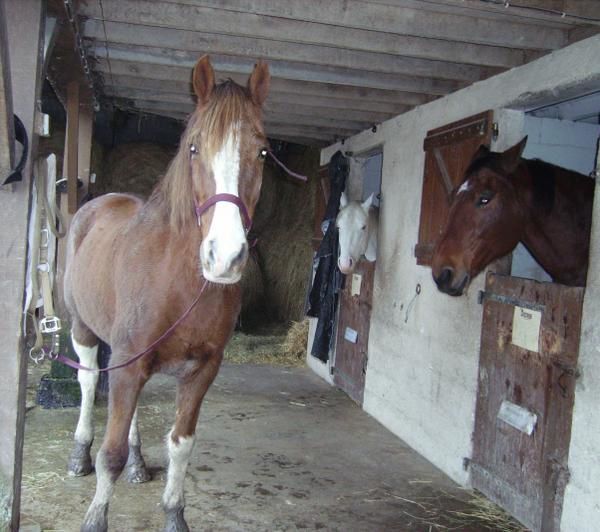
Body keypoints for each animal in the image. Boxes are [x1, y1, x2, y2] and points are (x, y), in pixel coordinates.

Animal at [65, 56, 270, 528]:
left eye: (263, 151)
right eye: (194, 148)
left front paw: (175, 513)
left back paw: (139, 464)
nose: (225, 257)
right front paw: (95, 517)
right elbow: (109, 453)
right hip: (82, 328)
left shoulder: (200, 370)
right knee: (88, 382)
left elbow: (181, 444)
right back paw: (79, 453)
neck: (178, 280)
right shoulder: (126, 360)